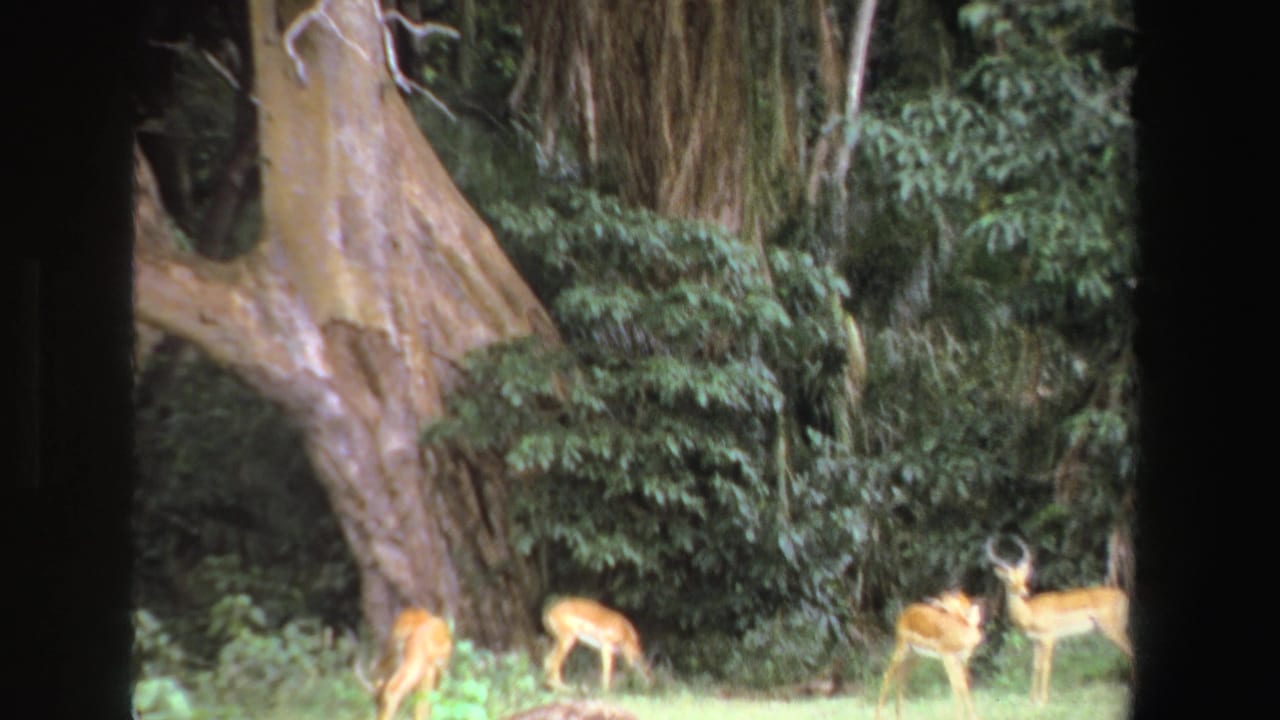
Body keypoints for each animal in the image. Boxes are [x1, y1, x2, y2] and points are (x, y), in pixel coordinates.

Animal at [876, 589, 985, 720]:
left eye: (947, 599)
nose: (930, 600)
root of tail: (906, 613)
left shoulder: (963, 659)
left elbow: (964, 686)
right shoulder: (948, 657)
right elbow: (957, 686)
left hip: (914, 656)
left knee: (901, 678)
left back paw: (899, 715)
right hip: (902, 649)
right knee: (887, 675)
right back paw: (877, 716)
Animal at [985, 536, 1132, 705]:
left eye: (1024, 577)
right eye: (1009, 579)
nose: (1023, 593)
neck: (1031, 612)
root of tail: (1124, 596)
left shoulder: (1049, 638)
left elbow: (1046, 666)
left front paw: (1042, 701)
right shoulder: (1036, 641)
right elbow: (1035, 666)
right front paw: (1031, 699)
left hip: (1114, 630)